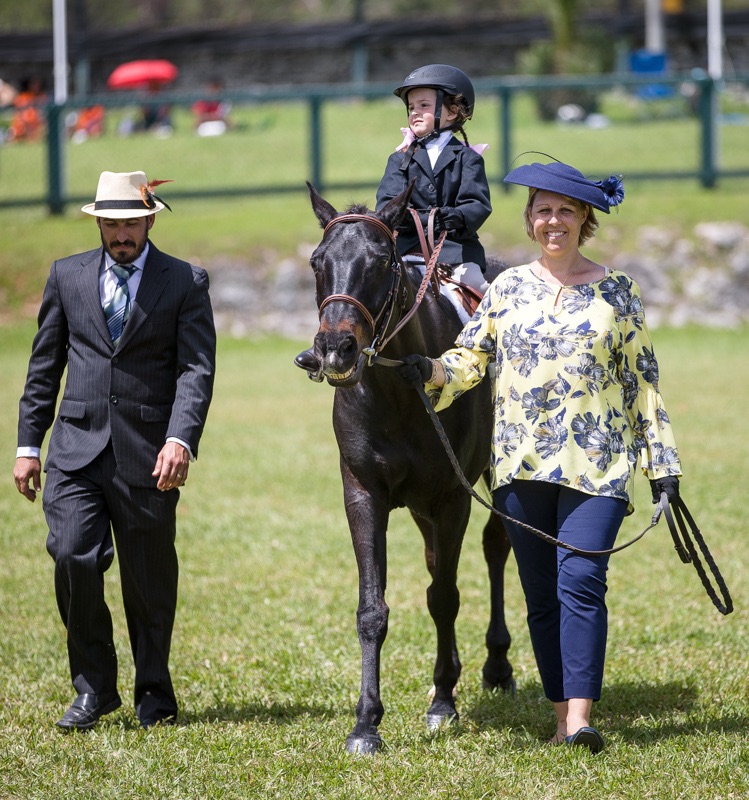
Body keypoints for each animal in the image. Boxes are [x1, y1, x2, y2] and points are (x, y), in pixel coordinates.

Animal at [300, 183, 512, 756]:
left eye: (380, 262)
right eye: (317, 261)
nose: (336, 349)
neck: (399, 389)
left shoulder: (453, 499)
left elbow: (444, 597)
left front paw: (444, 702)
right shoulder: (363, 495)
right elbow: (373, 610)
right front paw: (365, 724)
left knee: (496, 546)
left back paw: (497, 664)